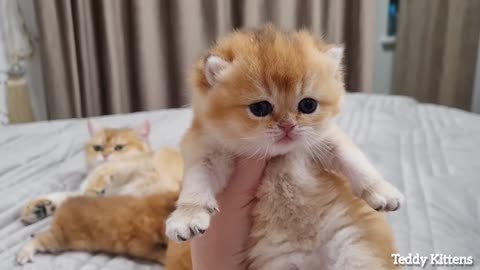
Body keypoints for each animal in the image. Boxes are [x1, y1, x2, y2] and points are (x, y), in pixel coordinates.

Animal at [167, 25, 404, 270]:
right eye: (260, 108)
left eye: (308, 105)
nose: (288, 125)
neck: (277, 157)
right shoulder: (207, 152)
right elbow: (196, 183)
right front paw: (188, 215)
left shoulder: (326, 140)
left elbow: (355, 162)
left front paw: (381, 191)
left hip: (355, 250)